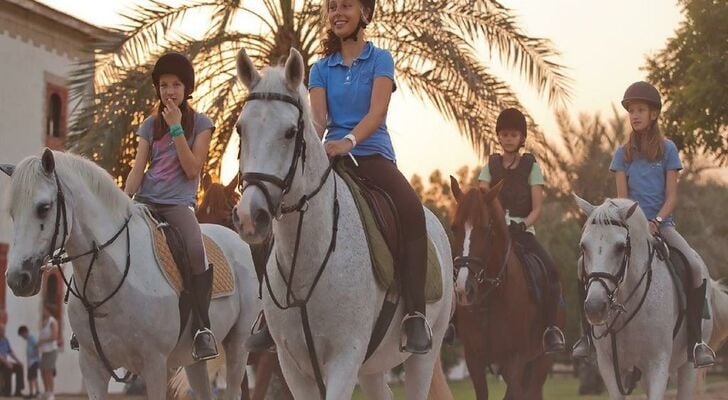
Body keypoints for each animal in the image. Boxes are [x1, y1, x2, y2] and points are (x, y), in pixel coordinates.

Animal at [0, 151, 262, 400]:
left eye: (43, 208)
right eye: (12, 213)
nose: (17, 279)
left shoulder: (156, 365)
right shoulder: (92, 367)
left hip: (238, 345)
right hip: (193, 359)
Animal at [232, 47, 450, 400]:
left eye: (290, 132)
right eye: (240, 129)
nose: (251, 217)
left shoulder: (345, 359)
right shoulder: (293, 367)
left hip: (423, 355)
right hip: (371, 368)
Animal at [450, 179, 564, 400]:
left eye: (486, 229)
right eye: (454, 228)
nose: (464, 289)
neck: (492, 298)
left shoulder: (515, 362)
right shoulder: (474, 361)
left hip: (541, 362)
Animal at [576, 195, 728, 398]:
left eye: (620, 247)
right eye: (584, 246)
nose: (595, 307)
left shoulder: (657, 364)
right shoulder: (609, 367)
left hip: (688, 366)